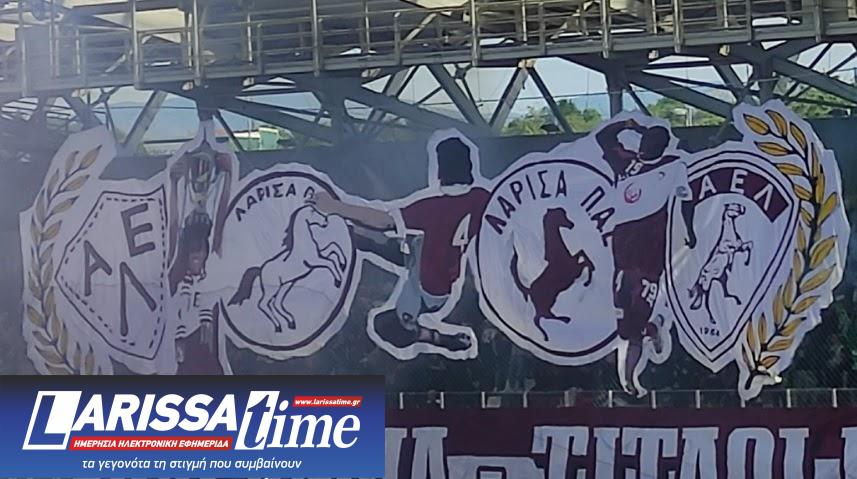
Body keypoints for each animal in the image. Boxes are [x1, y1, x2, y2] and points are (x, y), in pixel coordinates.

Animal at [510, 208, 595, 341]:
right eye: (560, 216)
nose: (571, 224)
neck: (557, 253)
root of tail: (530, 290)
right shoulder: (575, 271)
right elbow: (585, 262)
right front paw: (587, 281)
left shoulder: (574, 263)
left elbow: (582, 253)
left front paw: (590, 274)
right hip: (546, 302)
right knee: (539, 318)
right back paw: (553, 330)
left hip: (548, 302)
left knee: (543, 316)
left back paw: (562, 321)